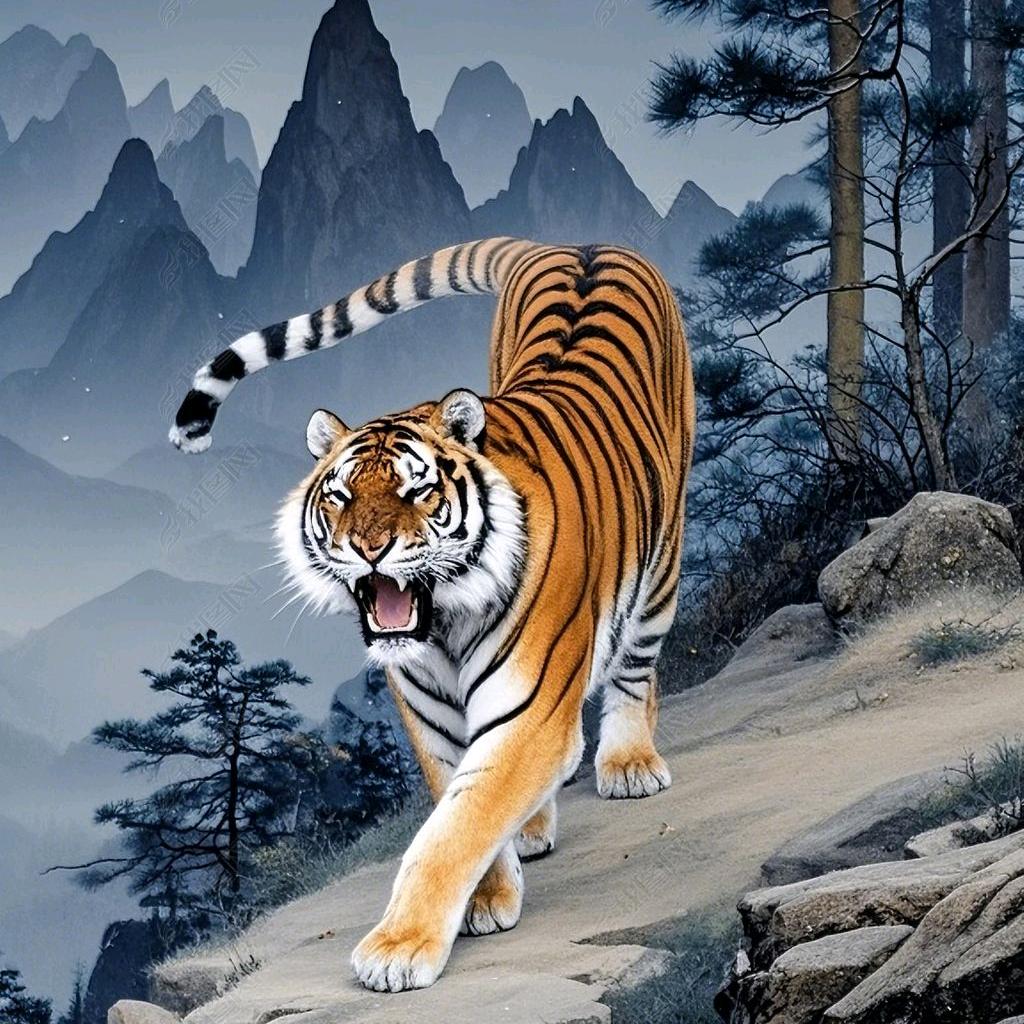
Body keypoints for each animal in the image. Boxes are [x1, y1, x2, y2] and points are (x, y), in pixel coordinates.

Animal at [169, 236, 695, 992]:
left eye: (417, 491)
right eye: (339, 496)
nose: (369, 548)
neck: (443, 625)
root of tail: (577, 244)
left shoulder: (530, 711)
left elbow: (455, 828)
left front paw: (397, 950)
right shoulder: (432, 719)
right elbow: (456, 802)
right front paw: (488, 897)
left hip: (662, 561)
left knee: (636, 668)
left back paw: (629, 763)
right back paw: (534, 825)